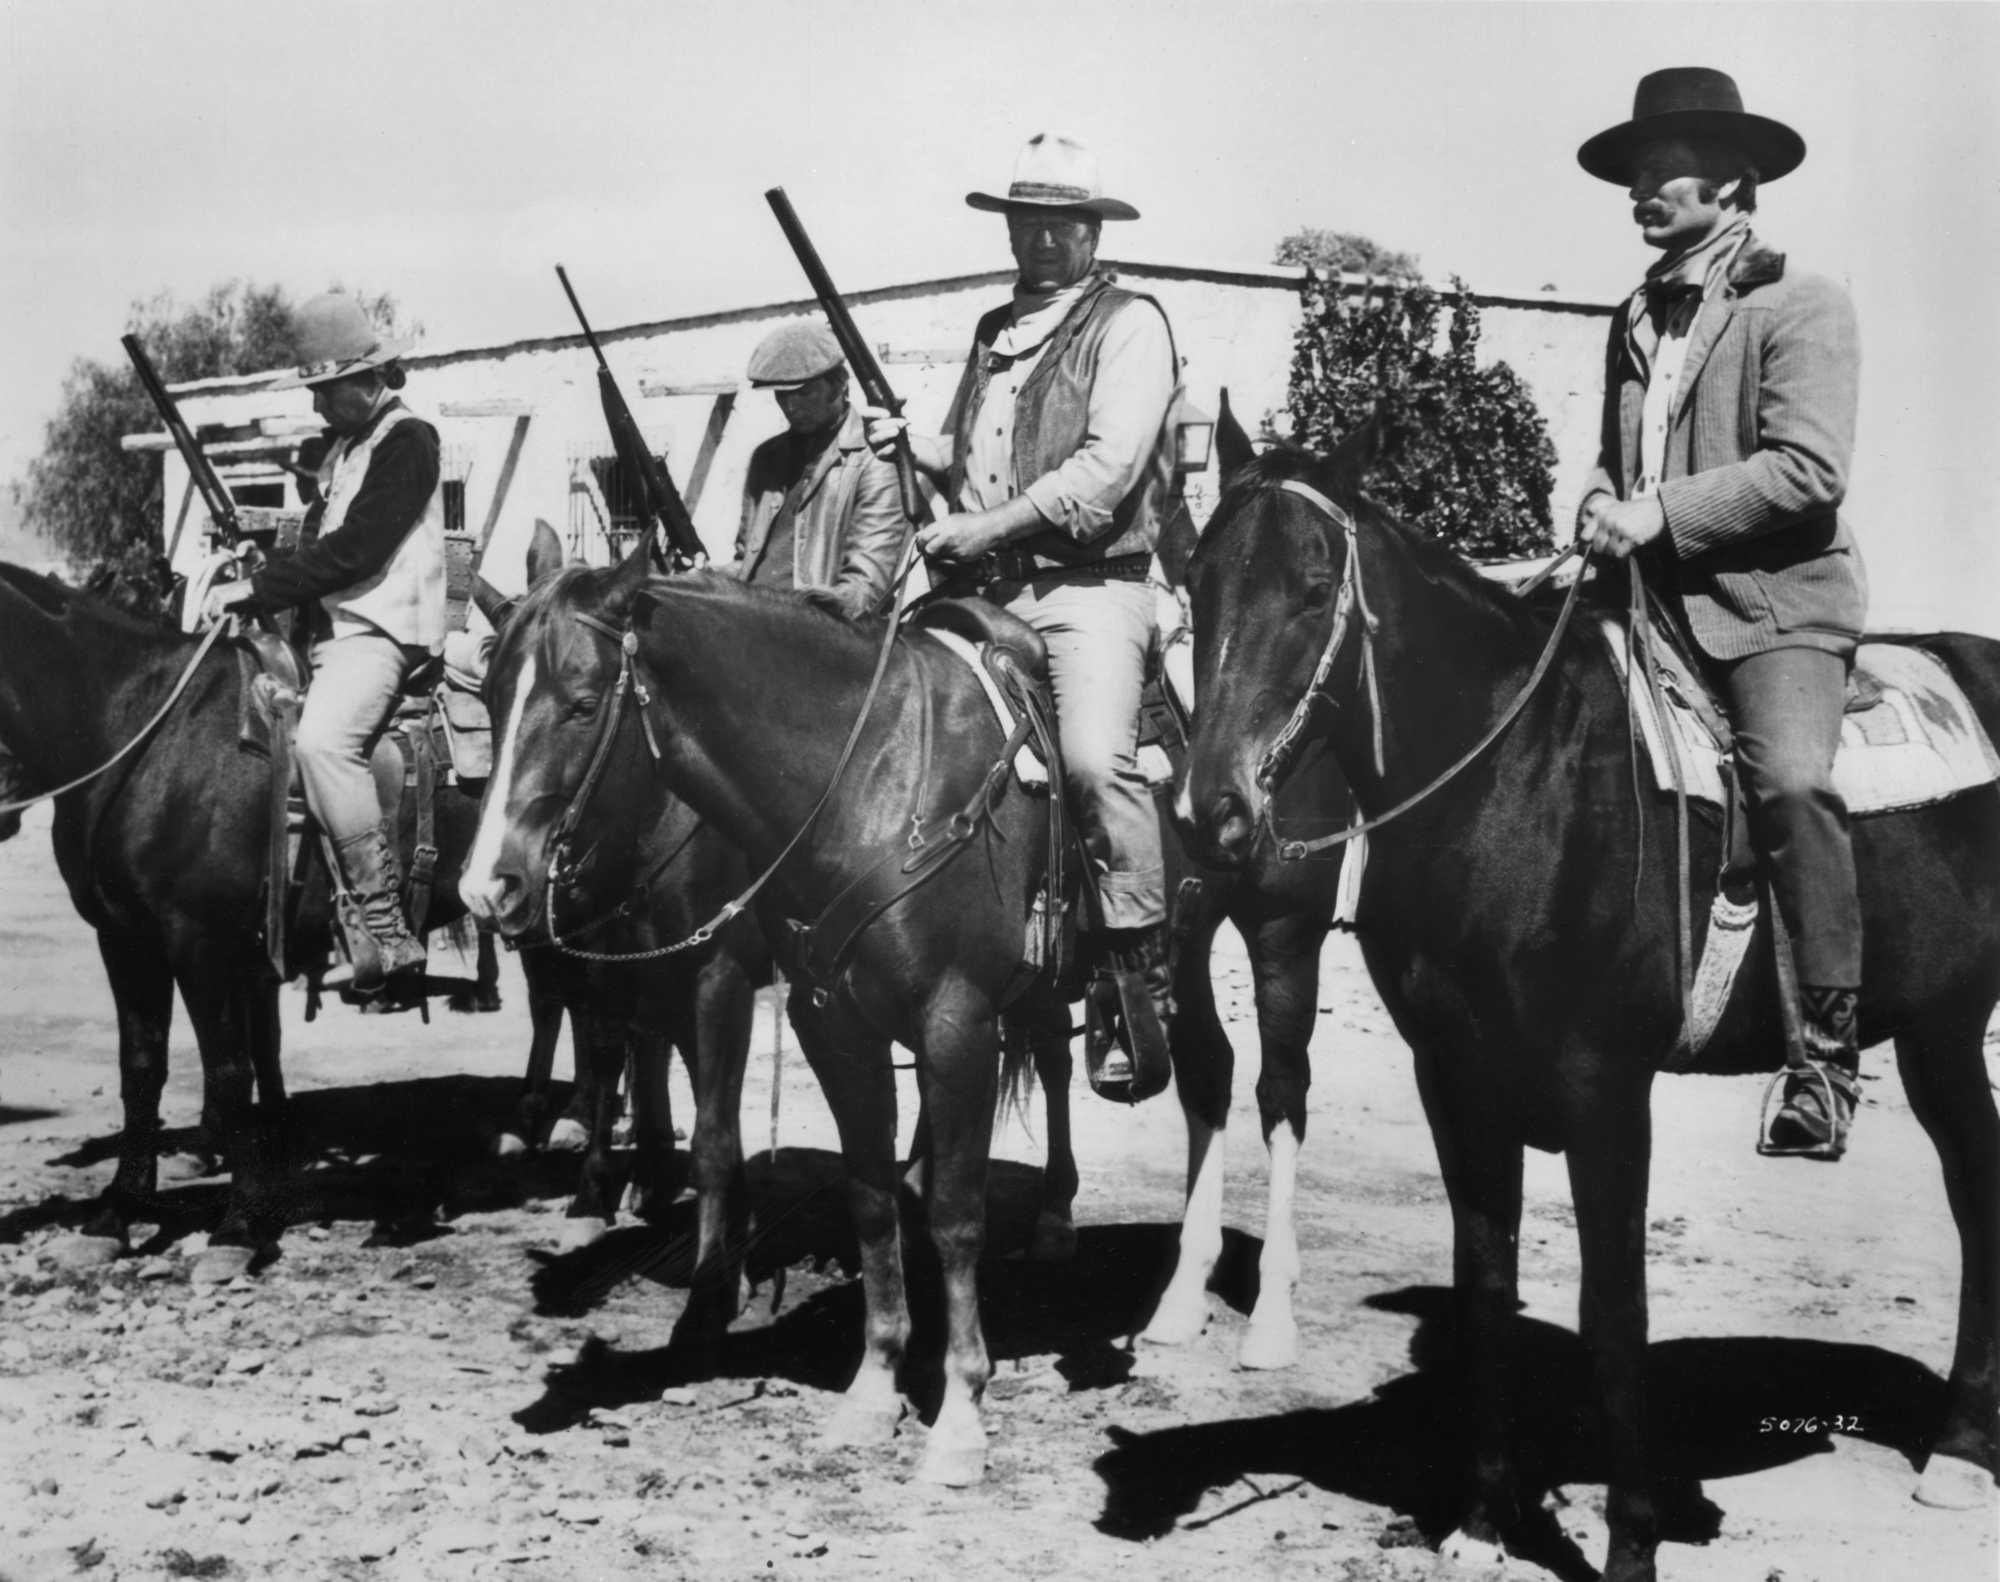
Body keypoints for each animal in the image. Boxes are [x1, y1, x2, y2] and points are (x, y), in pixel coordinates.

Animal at [1176, 420, 1992, 1582]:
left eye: (1311, 586)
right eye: (1197, 581)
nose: (1212, 814)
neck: (1517, 787)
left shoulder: (1603, 1088)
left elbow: (1613, 1310)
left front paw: (1630, 1546)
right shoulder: (1456, 1079)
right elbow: (1485, 1287)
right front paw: (1480, 1525)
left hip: (1941, 1029)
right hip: (1938, 1031)